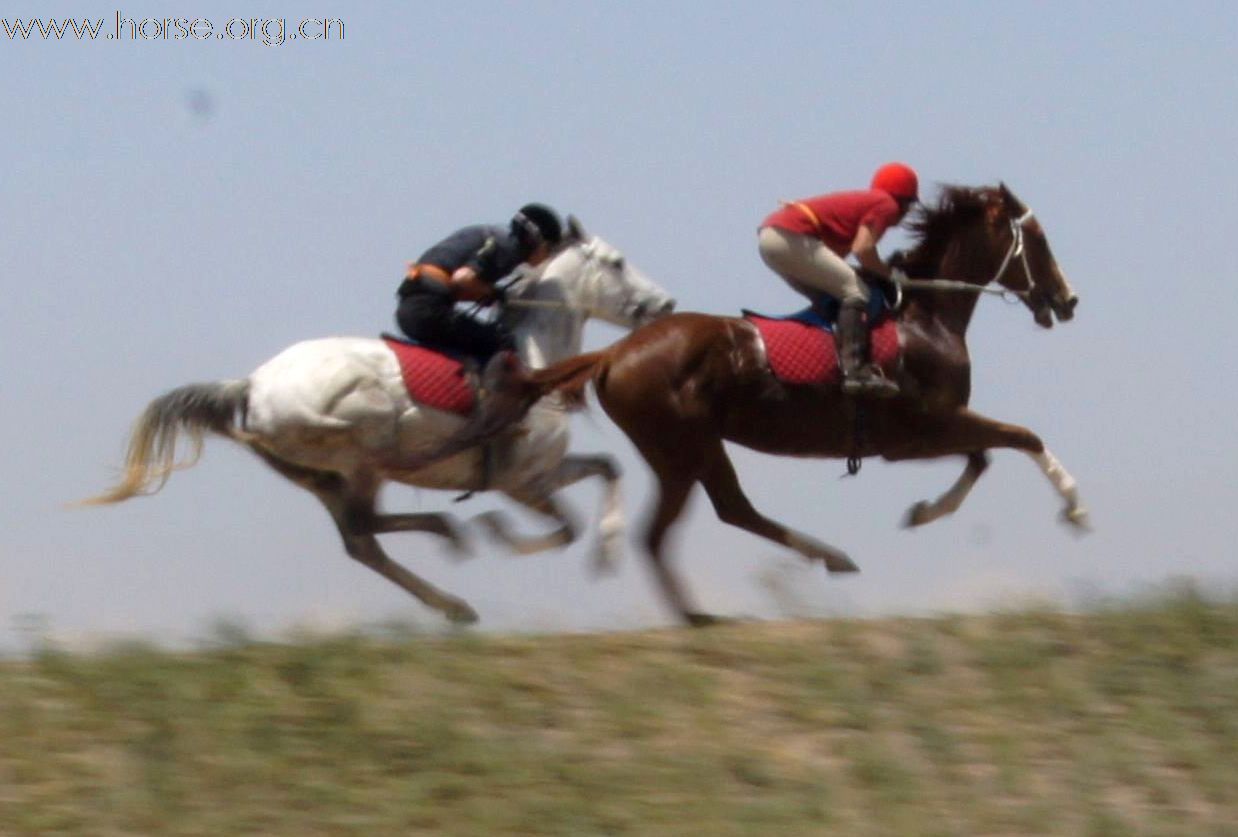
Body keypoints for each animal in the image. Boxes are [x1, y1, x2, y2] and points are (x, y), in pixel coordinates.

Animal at [84, 219, 678, 624]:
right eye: (617, 262)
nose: (666, 304)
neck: (534, 358)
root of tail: (250, 387)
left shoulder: (540, 473)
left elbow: (607, 469)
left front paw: (606, 549)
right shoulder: (518, 481)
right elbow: (565, 525)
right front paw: (504, 534)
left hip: (322, 478)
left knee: (361, 538)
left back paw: (452, 589)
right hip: (361, 447)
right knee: (366, 525)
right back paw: (451, 538)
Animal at [465, 186, 1084, 624]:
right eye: (1040, 240)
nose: (1068, 300)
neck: (925, 319)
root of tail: (615, 350)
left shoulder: (928, 432)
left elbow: (984, 457)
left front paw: (923, 511)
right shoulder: (920, 432)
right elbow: (1020, 438)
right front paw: (1075, 507)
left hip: (692, 448)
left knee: (726, 511)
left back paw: (809, 566)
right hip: (681, 448)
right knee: (673, 529)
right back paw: (704, 614)